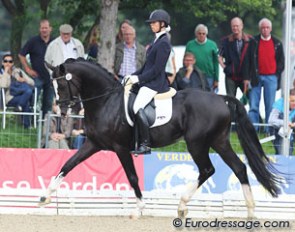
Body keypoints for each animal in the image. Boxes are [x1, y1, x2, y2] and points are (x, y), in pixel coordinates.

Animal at [40, 59, 284, 218]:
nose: (62, 111)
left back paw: (182, 205)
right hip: (219, 141)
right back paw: (250, 211)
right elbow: (67, 165)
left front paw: (139, 209)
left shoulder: (120, 148)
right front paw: (46, 197)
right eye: (54, 86)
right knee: (239, 167)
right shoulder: (94, 144)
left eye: (62, 85)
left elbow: (132, 177)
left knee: (208, 169)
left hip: (197, 143)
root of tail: (221, 98)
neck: (106, 101)